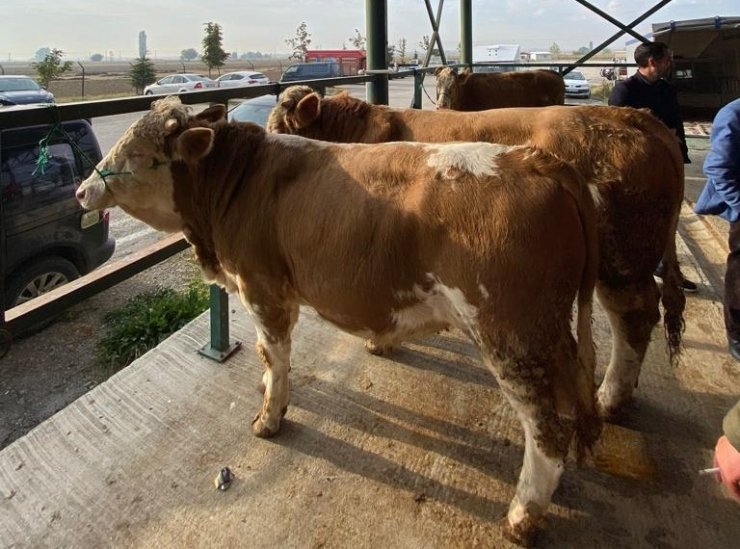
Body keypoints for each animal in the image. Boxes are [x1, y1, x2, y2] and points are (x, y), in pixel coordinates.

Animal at [76, 98, 600, 544]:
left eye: (136, 152)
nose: (82, 190)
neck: (238, 184)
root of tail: (533, 160)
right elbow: (270, 357)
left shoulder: (263, 287)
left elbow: (275, 354)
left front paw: (270, 416)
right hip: (549, 333)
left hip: (511, 335)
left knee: (546, 431)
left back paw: (521, 517)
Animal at [268, 88, 688, 418]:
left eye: (279, 132)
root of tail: (634, 116)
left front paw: (379, 342)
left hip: (622, 256)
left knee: (634, 314)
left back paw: (610, 398)